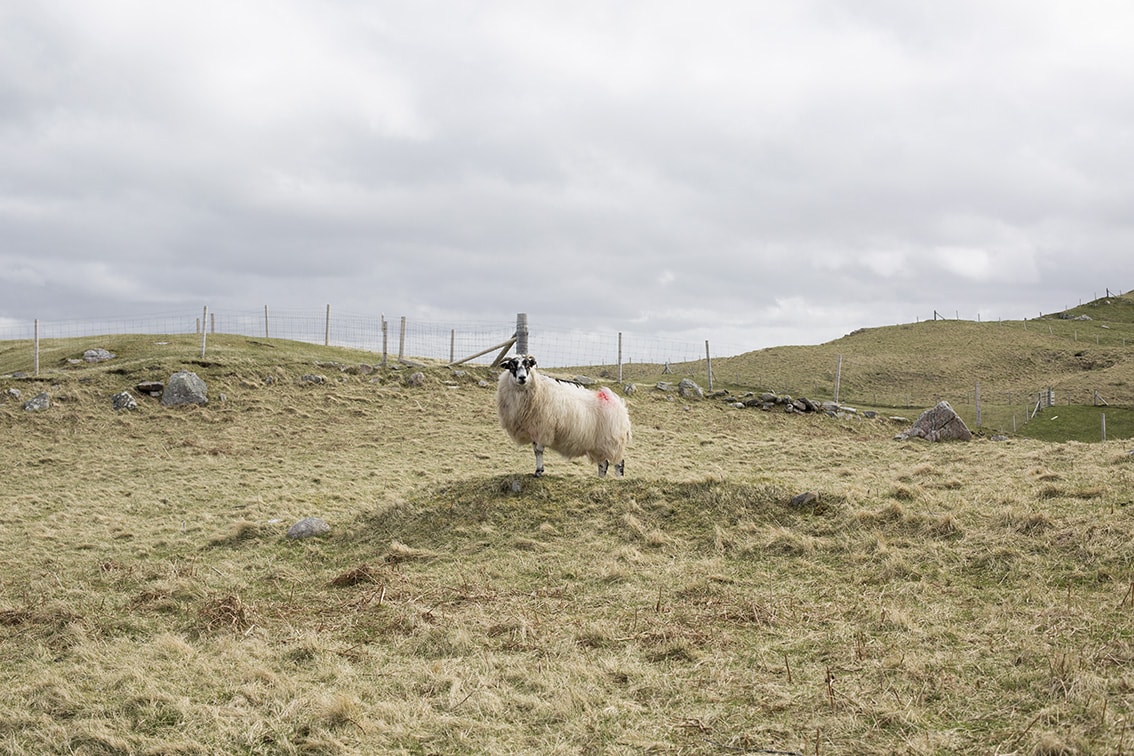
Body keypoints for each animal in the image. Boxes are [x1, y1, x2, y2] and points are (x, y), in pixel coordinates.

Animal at [496, 355, 635, 478]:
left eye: (528, 365)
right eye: (511, 366)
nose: (522, 378)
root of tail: (621, 407)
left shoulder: (543, 427)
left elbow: (539, 451)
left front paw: (539, 471)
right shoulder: (534, 429)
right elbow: (536, 451)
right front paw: (538, 470)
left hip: (612, 442)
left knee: (619, 463)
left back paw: (617, 479)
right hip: (598, 445)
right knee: (603, 464)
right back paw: (600, 479)